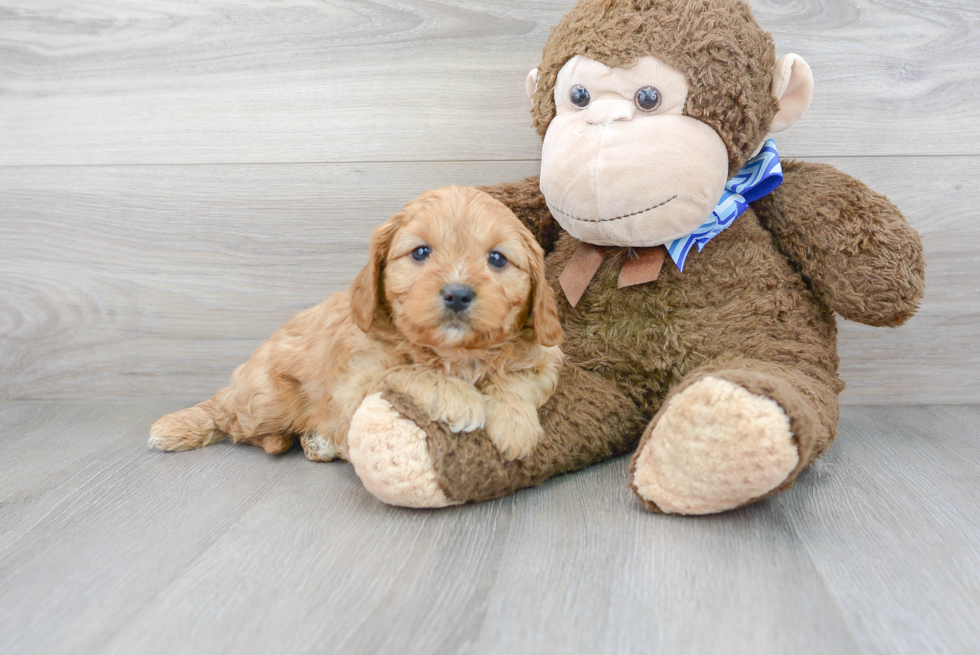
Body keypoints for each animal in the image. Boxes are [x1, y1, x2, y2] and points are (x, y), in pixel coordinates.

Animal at [148, 184, 564, 462]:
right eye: (421, 252)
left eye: (497, 259)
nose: (458, 294)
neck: (454, 352)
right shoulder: (355, 385)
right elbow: (407, 372)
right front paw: (460, 398)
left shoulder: (546, 361)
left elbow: (518, 382)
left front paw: (515, 425)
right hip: (267, 400)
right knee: (233, 421)